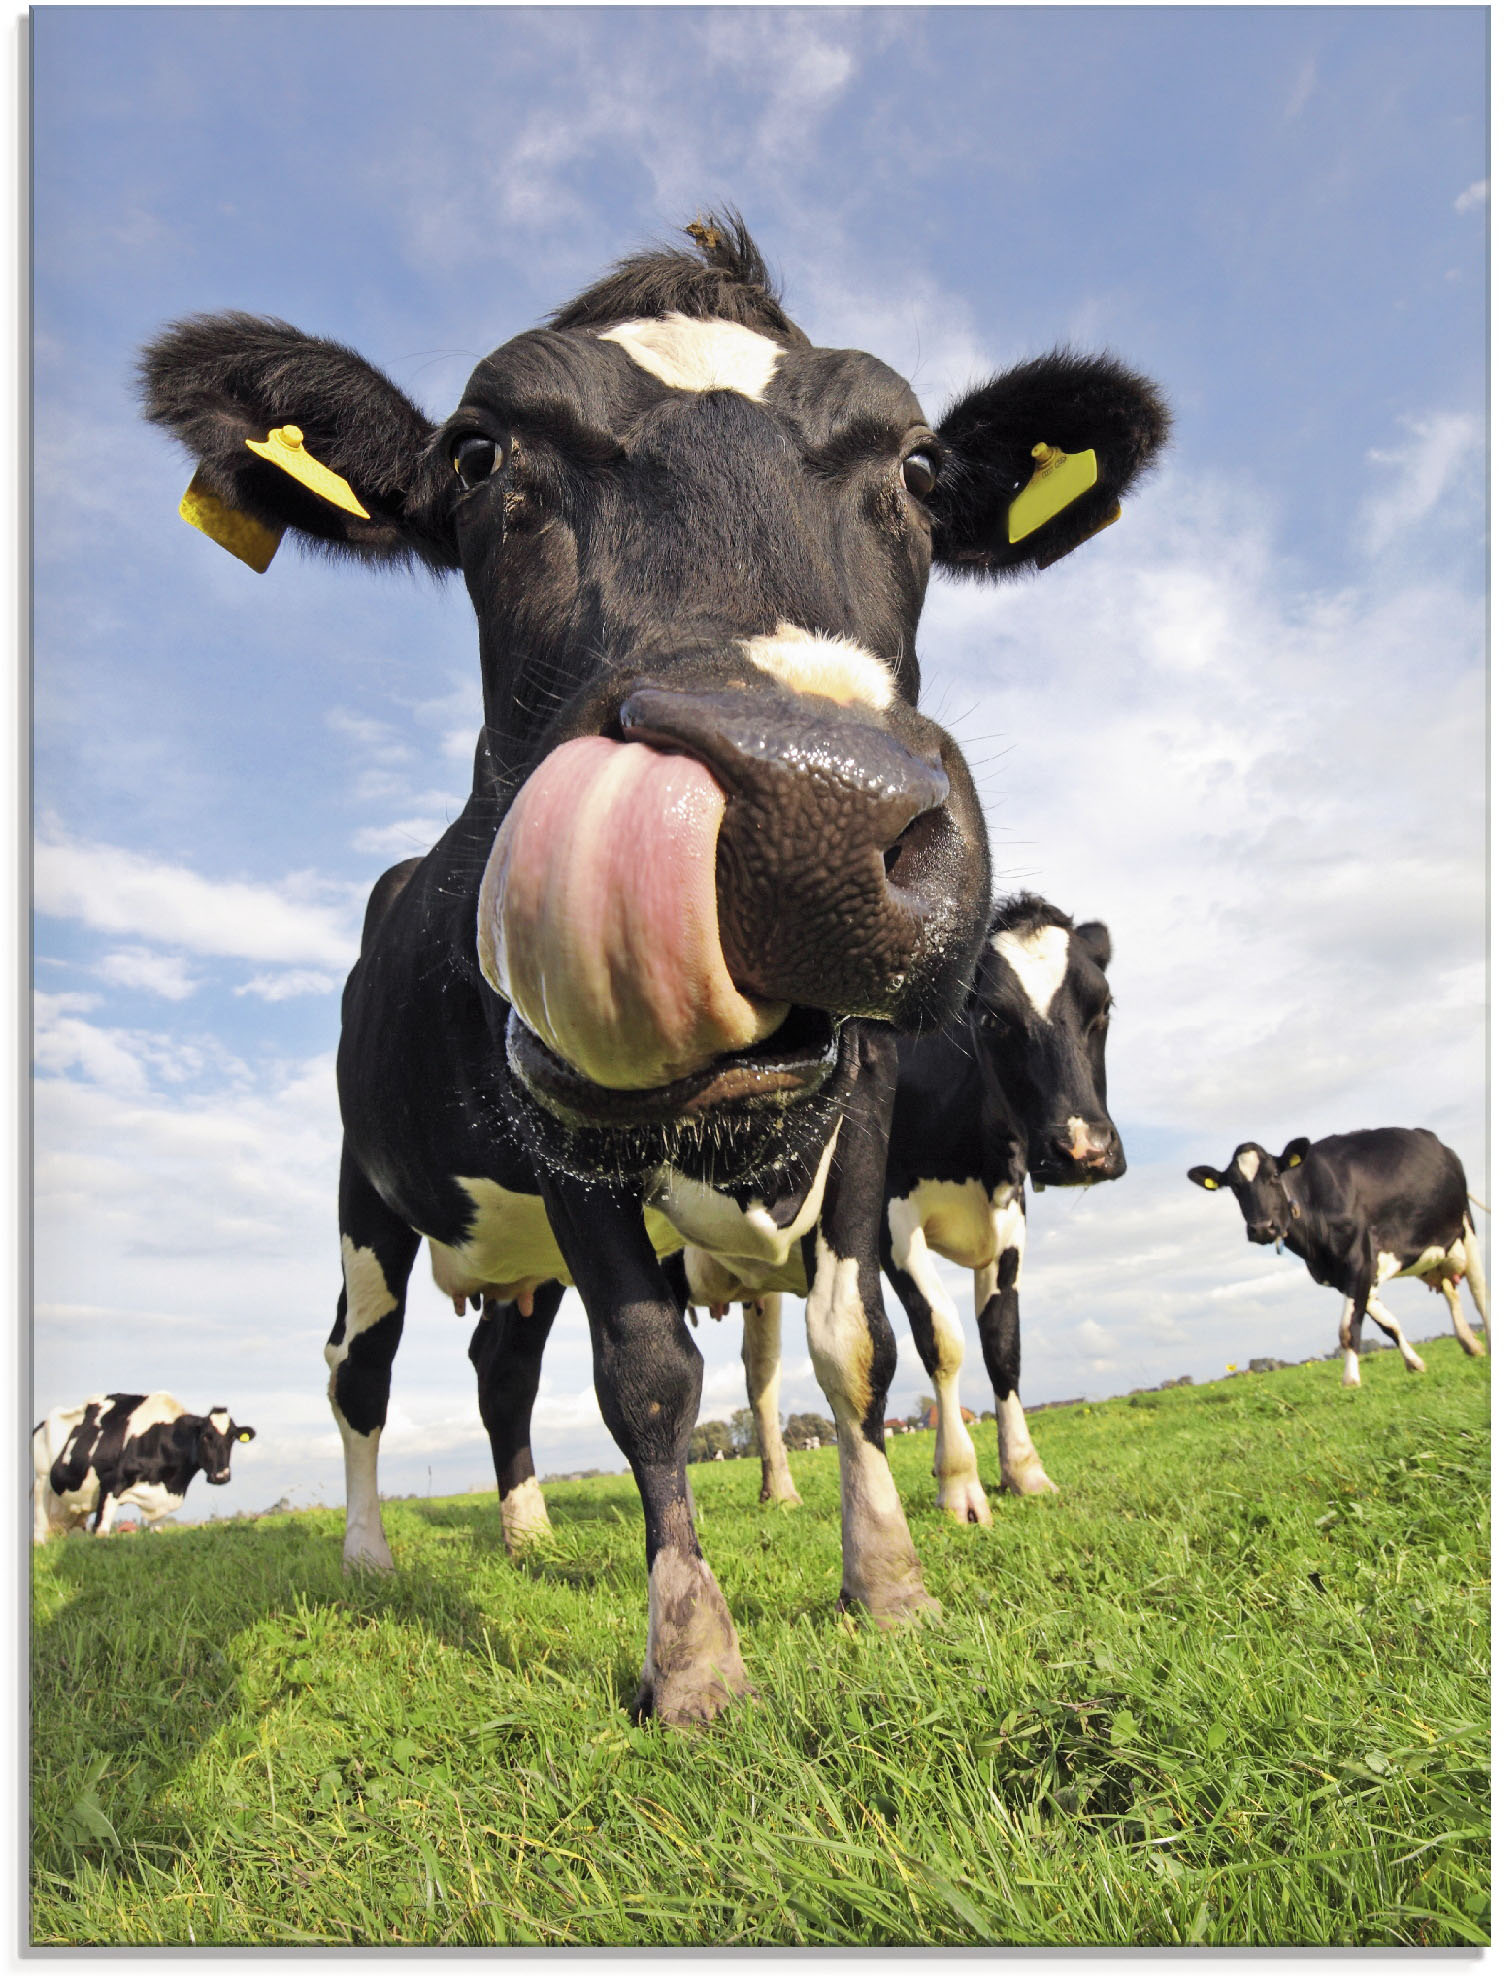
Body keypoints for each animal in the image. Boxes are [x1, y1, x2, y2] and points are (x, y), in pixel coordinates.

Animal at [32, 1393, 256, 1542]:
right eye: (206, 1436)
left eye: (232, 1438)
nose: (221, 1476)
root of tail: (41, 1424)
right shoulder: (111, 1483)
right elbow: (102, 1531)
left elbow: (157, 1530)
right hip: (41, 1483)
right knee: (40, 1533)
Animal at [677, 895, 1124, 1522]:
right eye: (991, 1019)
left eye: (1103, 1007)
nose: (1085, 1149)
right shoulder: (892, 1224)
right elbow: (942, 1338)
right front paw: (959, 1483)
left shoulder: (1009, 1225)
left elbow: (1003, 1346)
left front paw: (1024, 1470)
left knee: (759, 1376)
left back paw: (778, 1490)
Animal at [1188, 1128, 1490, 1386]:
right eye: (1234, 1186)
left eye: (1274, 1175)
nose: (1262, 1228)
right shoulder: (1343, 1274)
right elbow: (1387, 1323)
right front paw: (1414, 1363)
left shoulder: (1358, 1259)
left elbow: (1347, 1329)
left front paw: (1350, 1379)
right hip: (1436, 1252)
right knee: (1451, 1291)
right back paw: (1470, 1344)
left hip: (1465, 1227)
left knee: (1479, 1294)